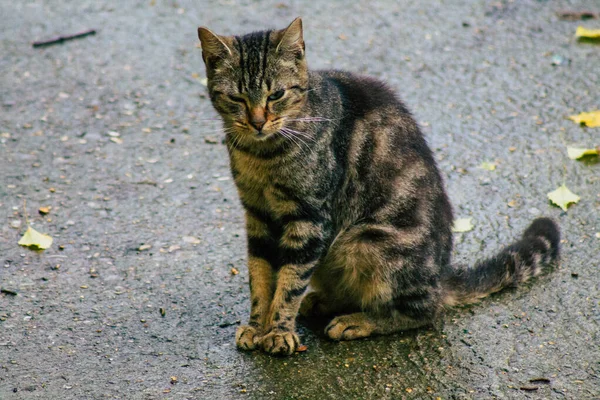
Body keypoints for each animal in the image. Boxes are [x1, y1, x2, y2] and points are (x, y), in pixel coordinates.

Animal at [196, 18, 556, 356]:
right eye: (236, 98)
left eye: (276, 95)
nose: (257, 122)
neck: (261, 155)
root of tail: (441, 275)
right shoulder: (257, 215)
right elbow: (260, 278)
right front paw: (258, 326)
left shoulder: (308, 219)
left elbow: (289, 282)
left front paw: (279, 331)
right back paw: (322, 303)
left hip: (365, 242)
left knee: (424, 311)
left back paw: (356, 321)